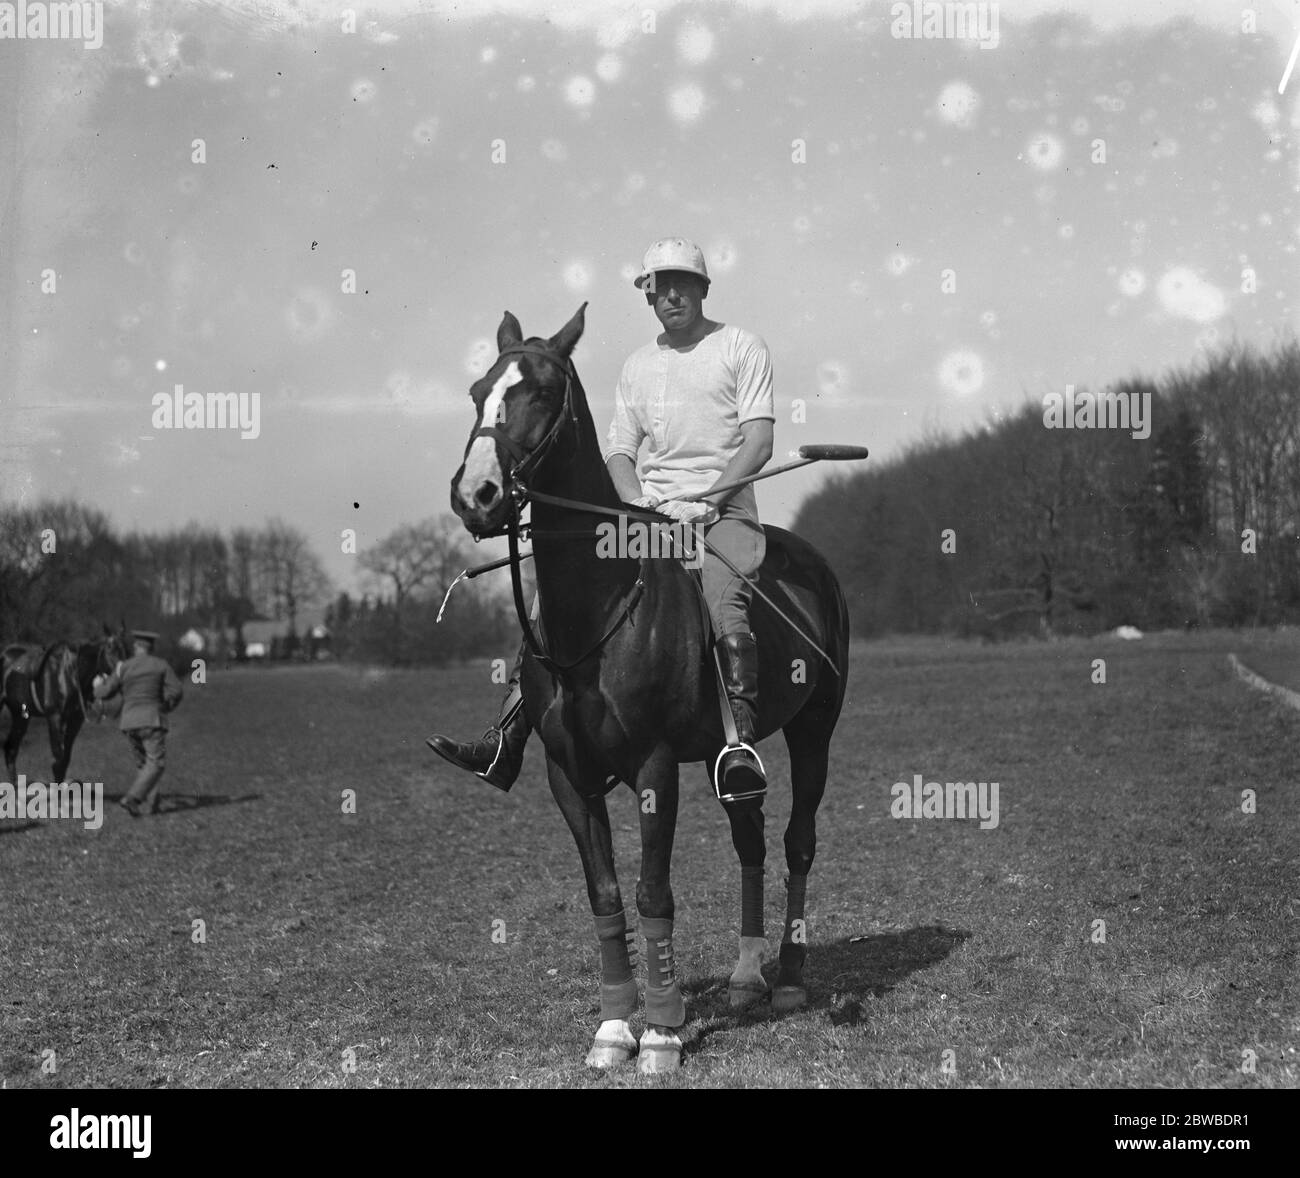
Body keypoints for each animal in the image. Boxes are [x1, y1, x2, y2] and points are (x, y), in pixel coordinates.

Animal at [2, 618, 128, 785]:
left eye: (126, 648)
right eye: (110, 648)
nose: (123, 677)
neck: (69, 675)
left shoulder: (75, 720)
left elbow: (65, 760)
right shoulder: (54, 718)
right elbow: (58, 759)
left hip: (20, 715)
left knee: (11, 749)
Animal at [449, 305, 852, 1076]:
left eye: (541, 391)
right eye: (477, 391)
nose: (474, 495)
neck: (599, 604)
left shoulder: (654, 763)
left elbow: (653, 890)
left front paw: (662, 1035)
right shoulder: (567, 773)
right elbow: (606, 894)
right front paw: (614, 1029)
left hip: (815, 726)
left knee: (797, 842)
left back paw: (788, 979)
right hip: (732, 749)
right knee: (751, 835)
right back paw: (746, 975)